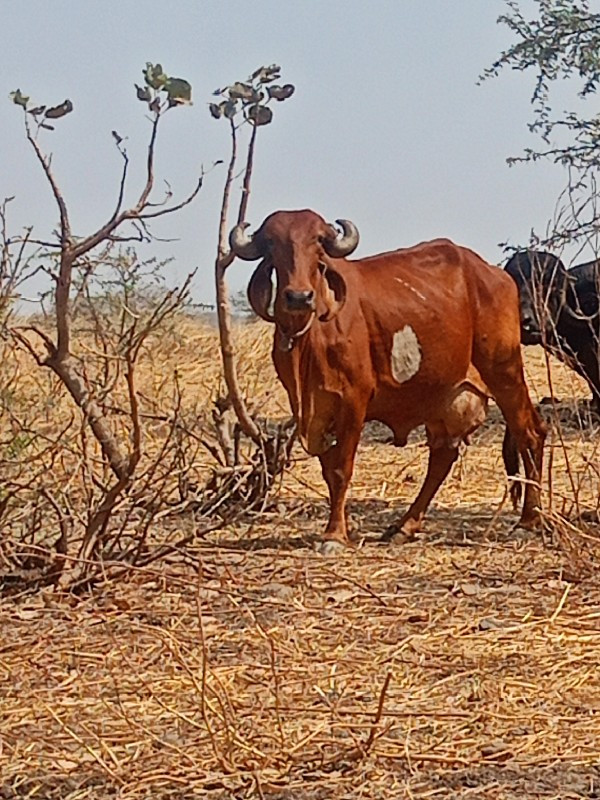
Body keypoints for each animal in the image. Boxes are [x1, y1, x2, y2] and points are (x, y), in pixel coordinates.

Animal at [231, 209, 548, 552]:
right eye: (272, 243)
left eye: (317, 243)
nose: (299, 297)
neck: (309, 335)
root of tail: (495, 274)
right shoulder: (309, 408)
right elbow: (328, 470)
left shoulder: (353, 402)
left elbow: (341, 470)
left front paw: (335, 535)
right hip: (441, 396)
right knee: (442, 456)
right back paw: (404, 526)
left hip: (504, 370)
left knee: (530, 433)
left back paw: (528, 521)